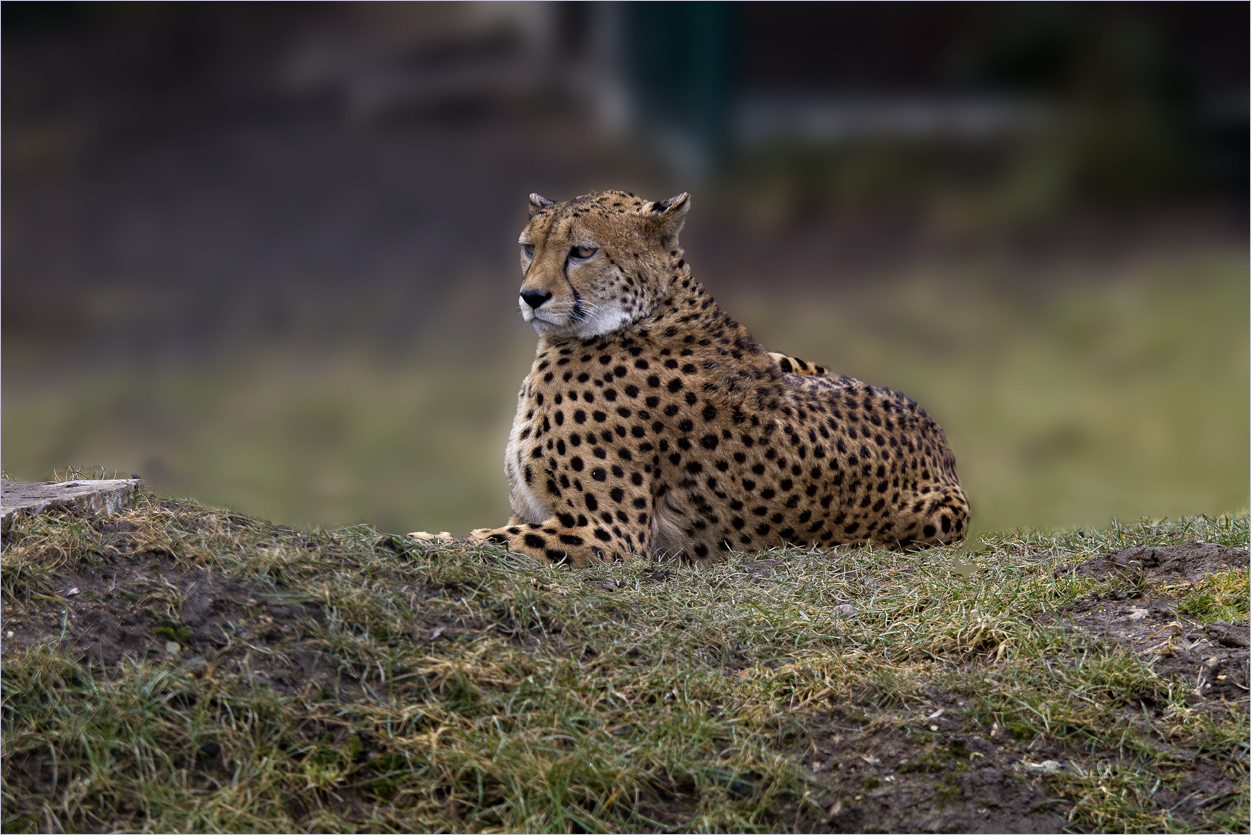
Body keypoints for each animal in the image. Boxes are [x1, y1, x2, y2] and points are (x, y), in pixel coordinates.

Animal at [415, 189, 970, 568]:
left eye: (583, 251)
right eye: (529, 248)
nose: (531, 296)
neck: (644, 313)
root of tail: (943, 448)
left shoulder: (605, 534)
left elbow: (479, 541)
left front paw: (423, 542)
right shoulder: (537, 513)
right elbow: (482, 533)